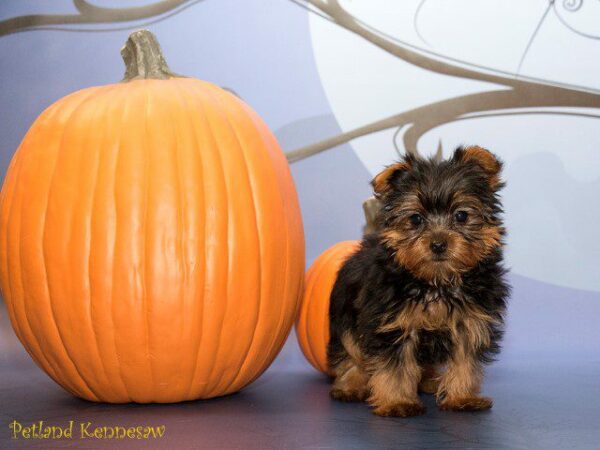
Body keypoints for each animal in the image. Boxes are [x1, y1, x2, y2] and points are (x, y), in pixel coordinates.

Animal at [330, 146, 508, 416]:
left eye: (461, 216)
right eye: (415, 219)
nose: (438, 244)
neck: (436, 282)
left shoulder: (469, 323)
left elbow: (465, 361)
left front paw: (462, 396)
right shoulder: (392, 324)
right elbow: (395, 367)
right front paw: (397, 401)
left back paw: (429, 381)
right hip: (345, 315)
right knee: (350, 351)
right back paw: (350, 385)